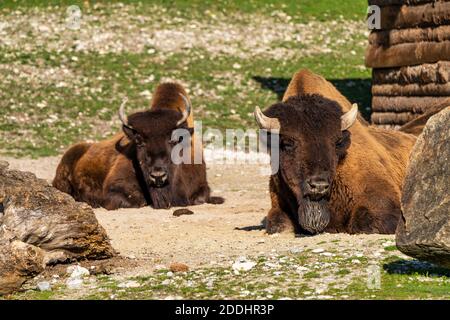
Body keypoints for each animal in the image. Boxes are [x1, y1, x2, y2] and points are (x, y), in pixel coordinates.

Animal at [53, 82, 221, 210]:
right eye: (139, 141)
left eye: (173, 140)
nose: (157, 176)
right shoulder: (114, 188)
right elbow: (137, 200)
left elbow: (200, 198)